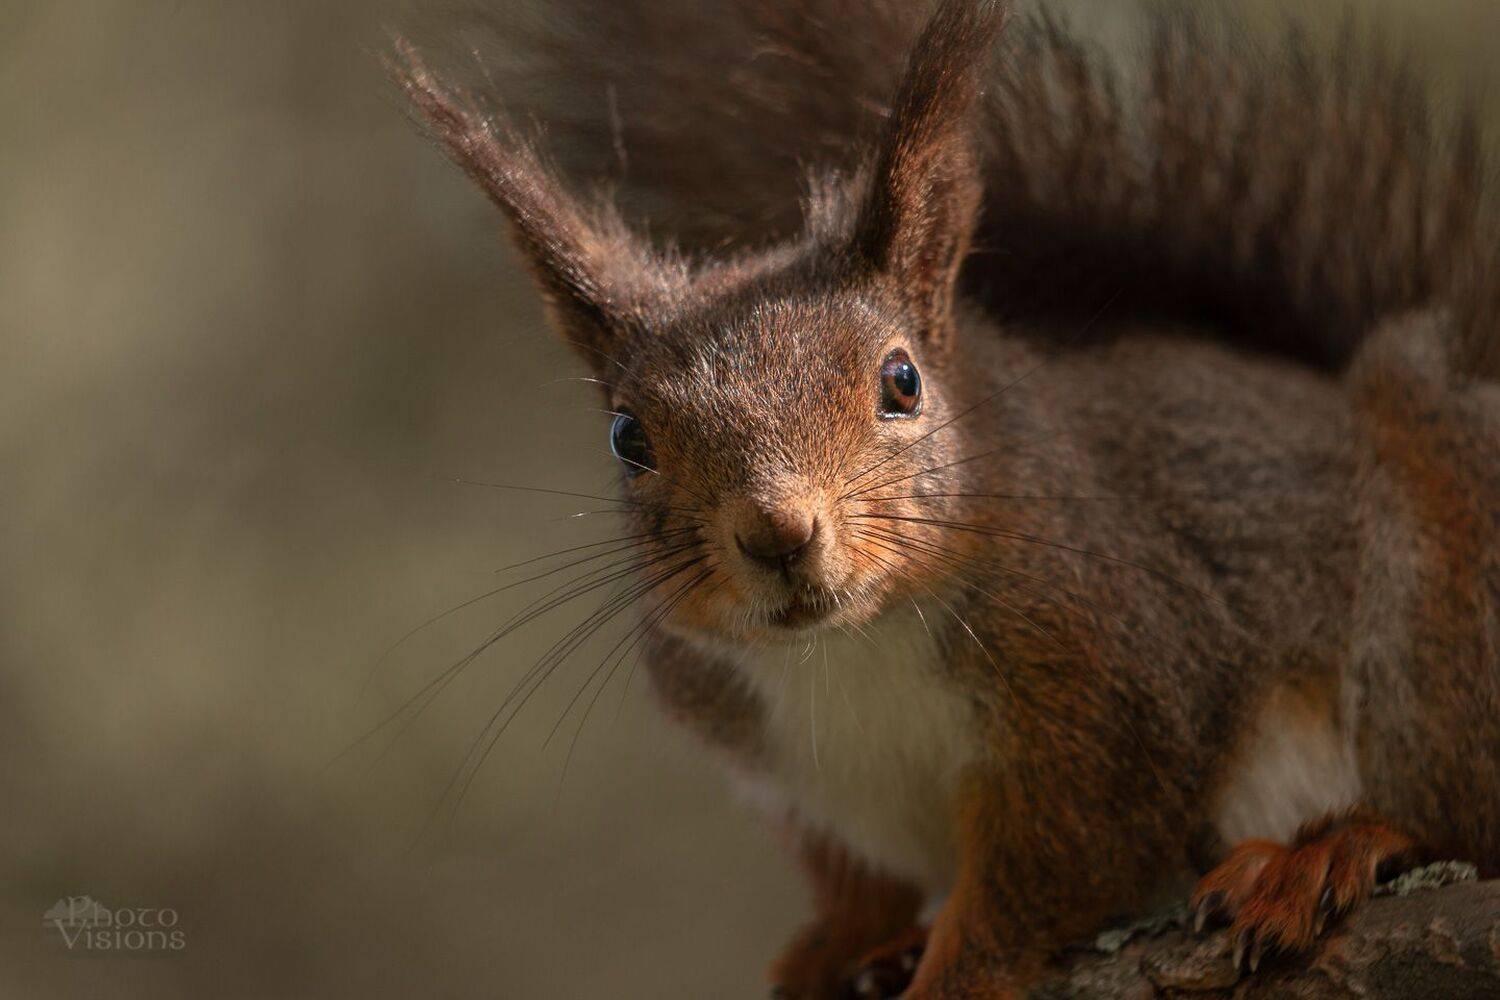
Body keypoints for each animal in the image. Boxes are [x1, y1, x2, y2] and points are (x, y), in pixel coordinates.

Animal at [394, 1, 1500, 996]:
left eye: (902, 381)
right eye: (627, 439)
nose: (777, 532)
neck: (849, 649)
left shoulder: (1123, 685)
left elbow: (1046, 871)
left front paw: (950, 970)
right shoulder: (759, 741)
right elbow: (854, 881)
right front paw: (839, 947)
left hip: (1439, 566)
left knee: (1452, 795)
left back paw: (1327, 851)